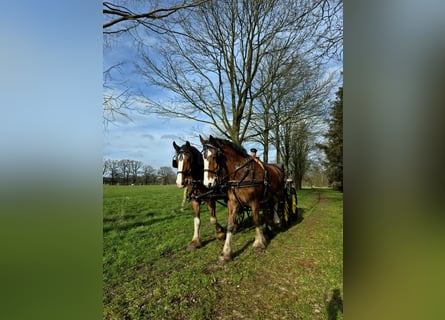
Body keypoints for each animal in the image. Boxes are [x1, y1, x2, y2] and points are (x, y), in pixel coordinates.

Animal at [199, 134, 282, 262]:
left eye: (214, 156)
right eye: (203, 158)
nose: (208, 183)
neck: (240, 174)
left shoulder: (254, 201)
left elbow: (256, 220)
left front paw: (259, 243)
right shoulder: (232, 203)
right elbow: (230, 225)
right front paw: (226, 252)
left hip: (278, 192)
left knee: (276, 204)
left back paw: (277, 221)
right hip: (266, 198)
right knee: (267, 210)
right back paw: (268, 231)